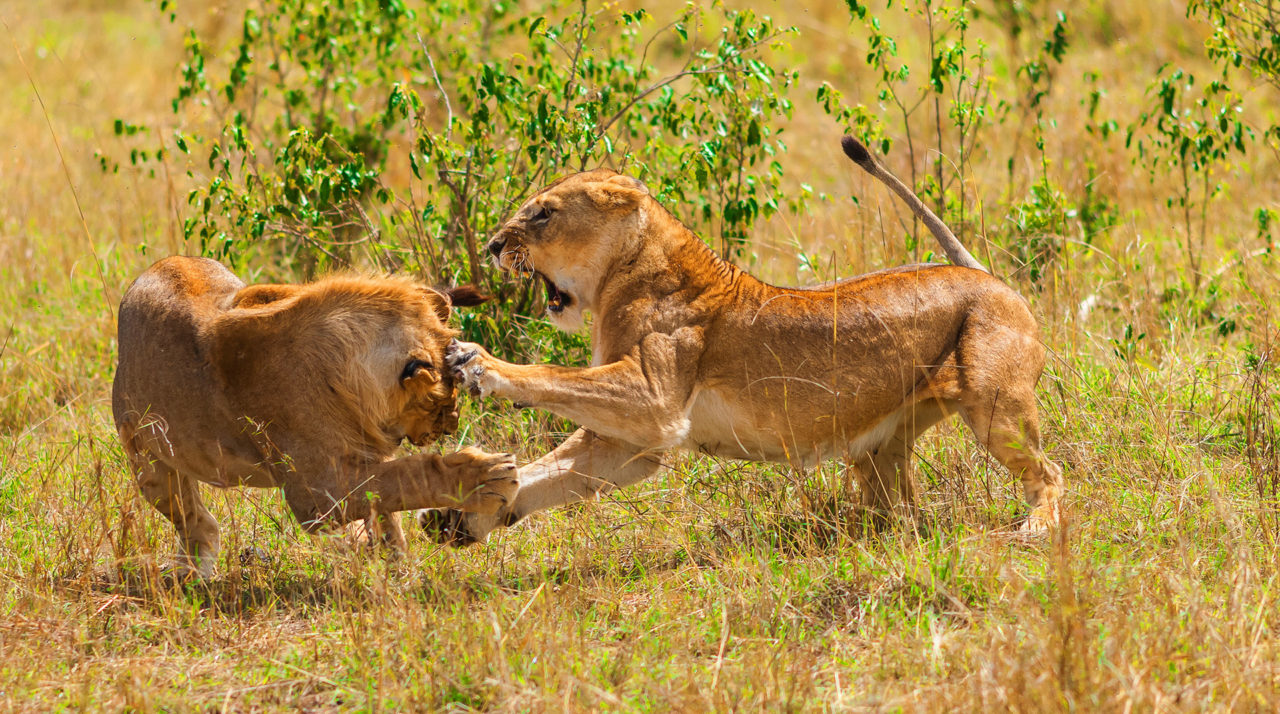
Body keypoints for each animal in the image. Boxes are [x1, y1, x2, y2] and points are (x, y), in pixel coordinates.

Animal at [112, 254, 517, 578]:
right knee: (194, 518)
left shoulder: (365, 457)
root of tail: (156, 266)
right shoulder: (315, 497)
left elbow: (386, 497)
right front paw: (487, 477)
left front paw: (395, 561)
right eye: (443, 403)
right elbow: (409, 476)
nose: (450, 426)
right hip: (148, 461)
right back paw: (193, 569)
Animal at [435, 136, 1064, 545]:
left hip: (995, 406)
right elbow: (550, 470)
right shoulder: (631, 442)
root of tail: (987, 276)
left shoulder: (653, 401)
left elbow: (551, 377)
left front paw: (474, 361)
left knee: (1050, 474)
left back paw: (1036, 528)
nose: (492, 245)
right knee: (899, 503)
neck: (626, 271)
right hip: (880, 447)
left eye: (541, 214)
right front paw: (465, 514)